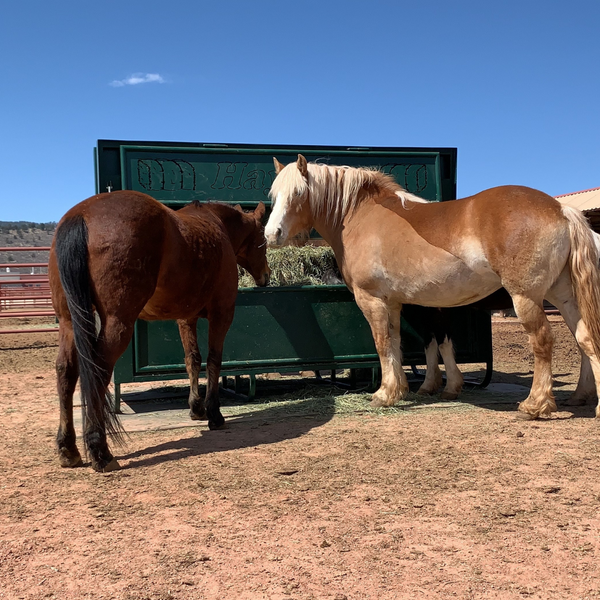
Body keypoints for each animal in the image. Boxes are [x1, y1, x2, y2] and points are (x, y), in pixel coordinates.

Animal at [49, 190, 270, 472]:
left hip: (68, 322)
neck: (216, 226)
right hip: (117, 324)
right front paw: (214, 413)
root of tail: (81, 215)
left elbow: (192, 360)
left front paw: (196, 408)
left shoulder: (186, 318)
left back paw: (68, 449)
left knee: (66, 372)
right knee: (97, 373)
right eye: (263, 240)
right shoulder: (222, 314)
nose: (266, 276)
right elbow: (213, 361)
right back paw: (100, 451)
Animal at [268, 157, 600, 422]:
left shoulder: (373, 300)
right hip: (564, 296)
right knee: (586, 339)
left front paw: (385, 394)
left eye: (298, 193)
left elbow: (384, 344)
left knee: (543, 342)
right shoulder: (399, 304)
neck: (361, 216)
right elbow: (404, 344)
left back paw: (535, 405)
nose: (272, 234)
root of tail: (561, 209)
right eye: (273, 195)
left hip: (527, 297)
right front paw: (406, 390)